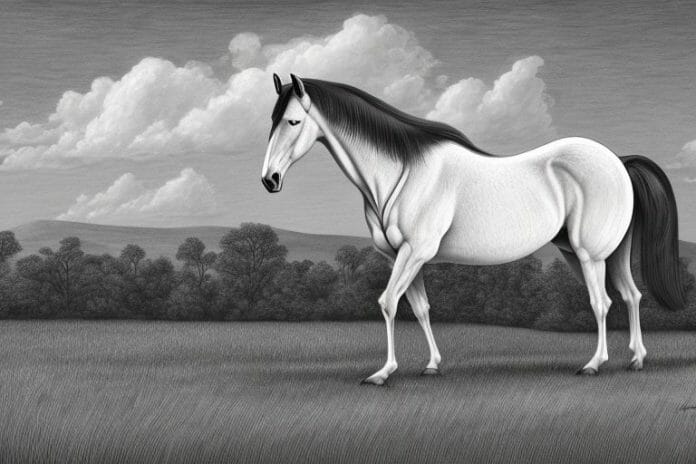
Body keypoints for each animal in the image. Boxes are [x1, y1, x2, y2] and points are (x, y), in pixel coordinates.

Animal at [262, 73, 685, 385]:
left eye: (293, 121)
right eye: (271, 120)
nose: (269, 180)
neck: (402, 172)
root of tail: (618, 160)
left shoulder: (415, 252)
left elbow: (387, 303)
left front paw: (383, 373)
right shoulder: (406, 257)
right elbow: (420, 308)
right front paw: (432, 365)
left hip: (590, 253)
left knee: (603, 303)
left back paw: (595, 364)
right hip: (598, 252)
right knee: (631, 296)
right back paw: (636, 359)